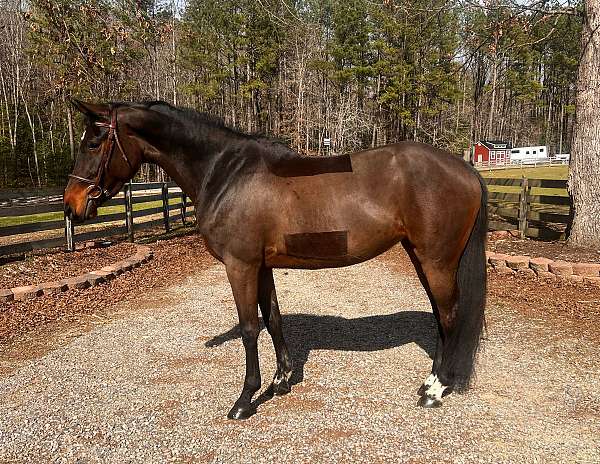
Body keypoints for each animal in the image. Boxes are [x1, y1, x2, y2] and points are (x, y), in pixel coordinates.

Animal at [64, 101, 488, 420]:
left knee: (450, 315)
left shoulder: (240, 265)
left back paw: (436, 389)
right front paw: (281, 381)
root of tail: (465, 168)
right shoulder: (262, 265)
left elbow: (250, 328)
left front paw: (244, 400)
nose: (71, 206)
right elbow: (273, 319)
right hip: (422, 258)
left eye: (94, 142)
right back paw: (431, 382)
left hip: (437, 261)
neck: (225, 173)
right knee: (440, 316)